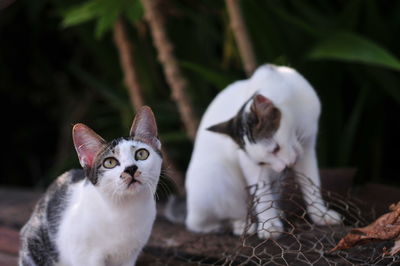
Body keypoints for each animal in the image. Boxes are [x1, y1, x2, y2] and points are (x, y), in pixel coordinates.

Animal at [18, 106, 162, 266]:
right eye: (110, 162)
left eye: (142, 154)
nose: (131, 169)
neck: (126, 209)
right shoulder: (85, 254)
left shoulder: (130, 255)